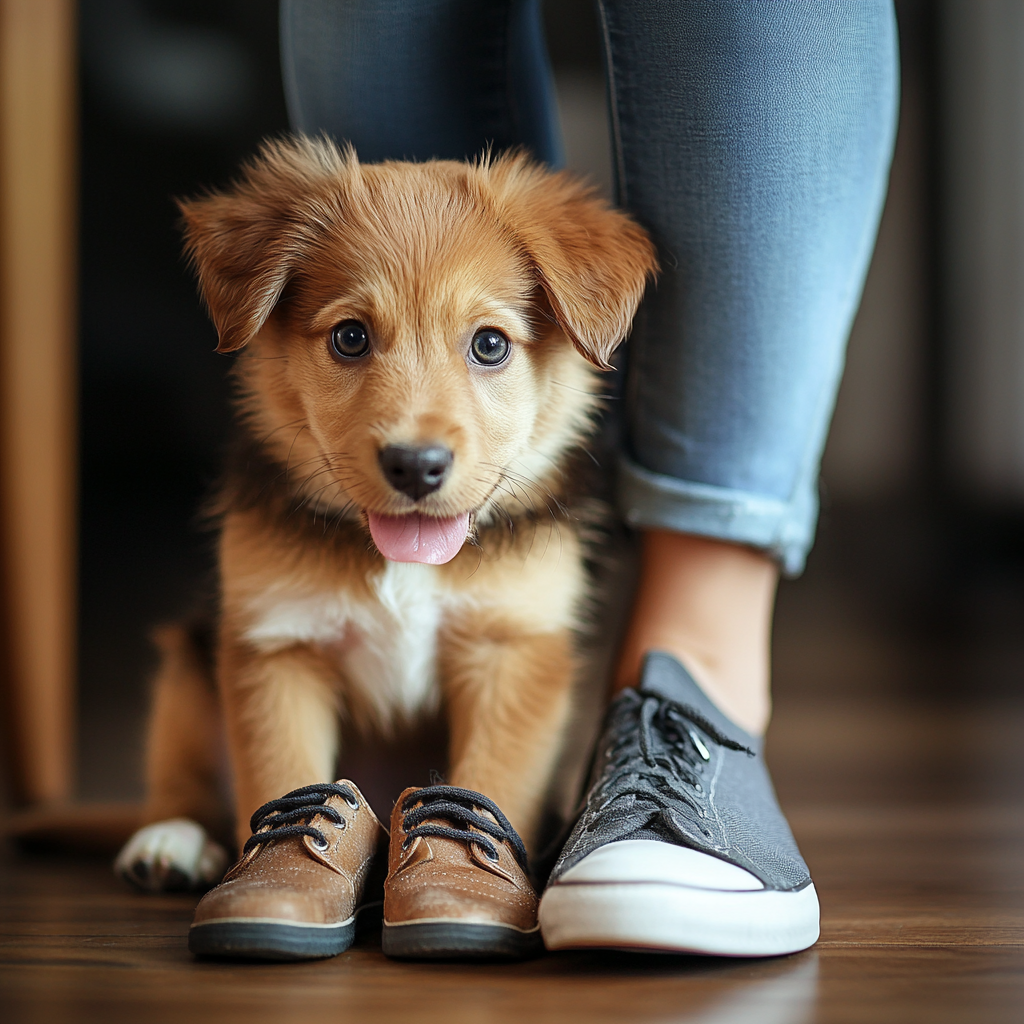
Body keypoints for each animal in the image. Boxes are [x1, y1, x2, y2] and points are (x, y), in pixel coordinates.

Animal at [114, 136, 655, 888]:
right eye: (350, 338)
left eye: (490, 344)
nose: (415, 466)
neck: (402, 561)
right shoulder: (276, 646)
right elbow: (284, 775)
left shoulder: (514, 649)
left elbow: (491, 782)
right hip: (191, 656)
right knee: (185, 768)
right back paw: (172, 837)